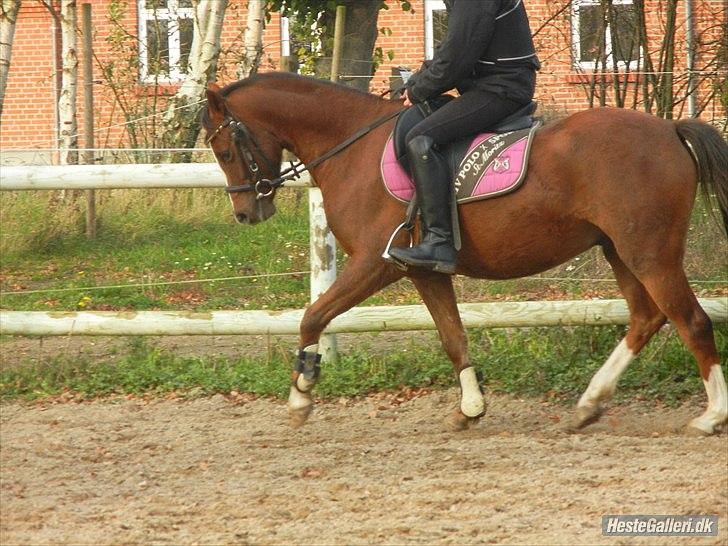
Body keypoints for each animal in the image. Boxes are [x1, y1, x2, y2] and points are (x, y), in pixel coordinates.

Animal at [202, 72, 728, 435]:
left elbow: (313, 315)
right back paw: (588, 405)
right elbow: (453, 337)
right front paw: (470, 409)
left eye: (224, 150)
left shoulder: (374, 263)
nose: (246, 212)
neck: (352, 148)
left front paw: (301, 395)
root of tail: (669, 130)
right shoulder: (424, 271)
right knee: (646, 318)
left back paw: (710, 417)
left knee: (691, 320)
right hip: (620, 250)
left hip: (650, 253)